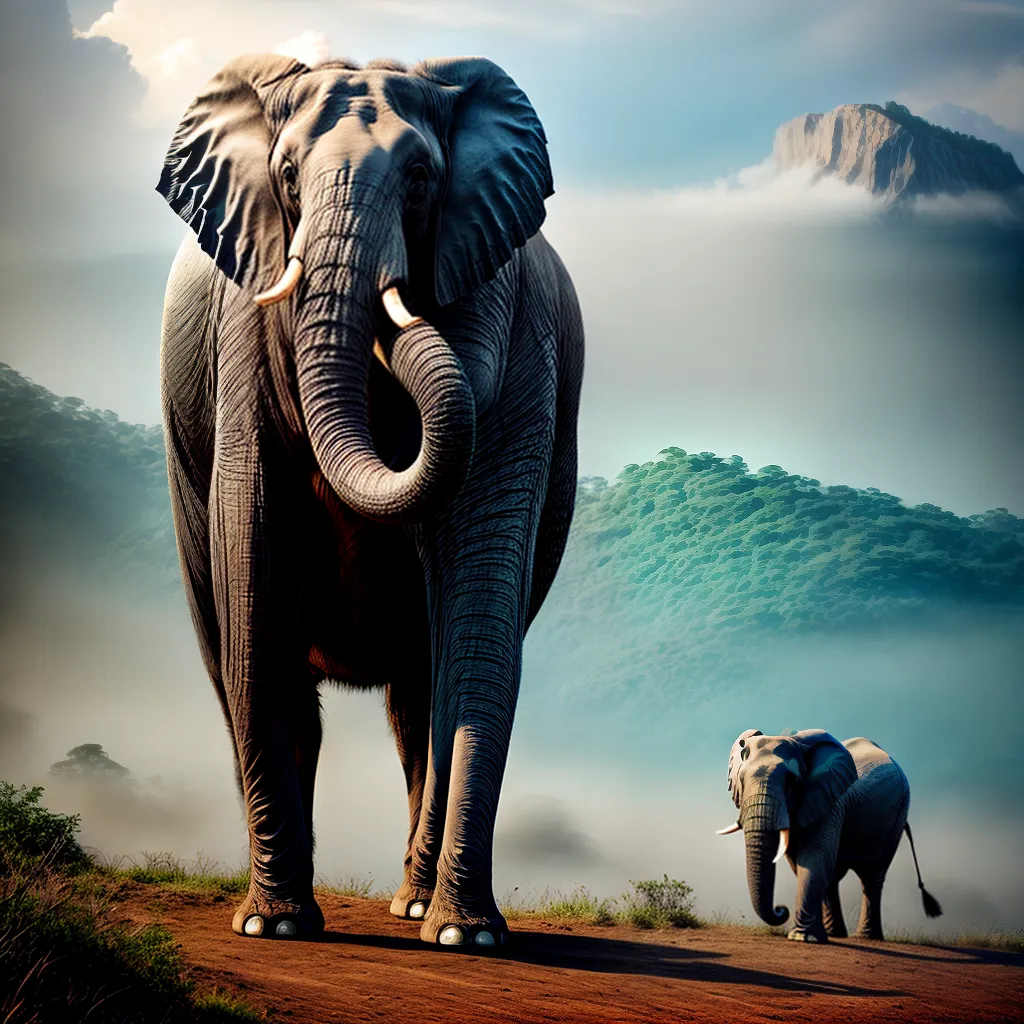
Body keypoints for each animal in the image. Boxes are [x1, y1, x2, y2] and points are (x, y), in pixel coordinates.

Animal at [156, 52, 583, 949]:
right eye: (286, 176)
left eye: (422, 180)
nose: (406, 308)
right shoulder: (246, 334)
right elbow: (254, 585)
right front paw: (274, 927)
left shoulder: (522, 340)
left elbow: (480, 624)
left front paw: (465, 938)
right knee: (239, 662)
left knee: (420, 702)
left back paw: (416, 908)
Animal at [718, 729, 942, 942]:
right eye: (742, 780)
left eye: (792, 783)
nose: (781, 909)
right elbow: (801, 862)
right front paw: (811, 936)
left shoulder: (831, 799)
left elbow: (814, 855)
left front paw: (803, 938)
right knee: (834, 877)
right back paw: (835, 934)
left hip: (896, 818)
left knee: (872, 876)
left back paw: (866, 937)